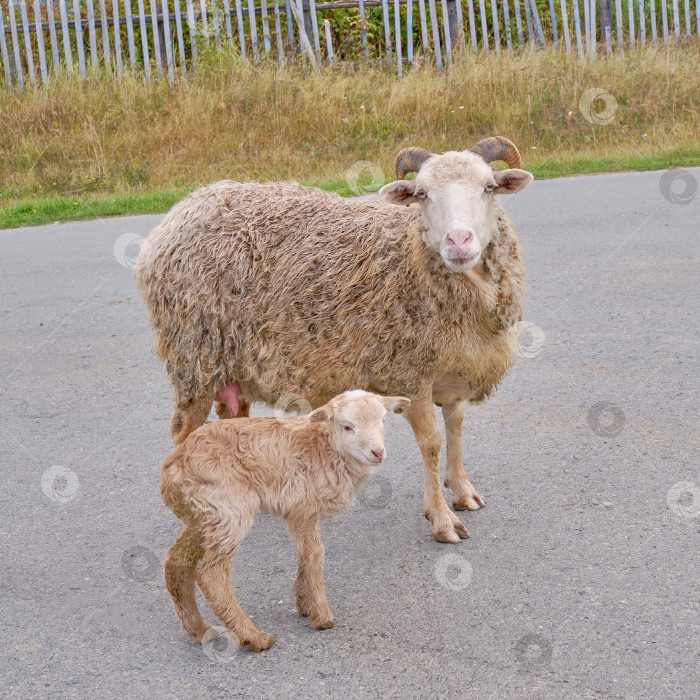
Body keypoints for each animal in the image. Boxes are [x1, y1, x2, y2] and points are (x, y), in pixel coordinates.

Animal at [134, 135, 532, 540]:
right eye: (422, 194)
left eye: (489, 188)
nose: (459, 241)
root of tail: (183, 208)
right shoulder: (411, 375)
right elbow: (432, 443)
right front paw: (442, 520)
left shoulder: (457, 372)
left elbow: (456, 429)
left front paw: (463, 491)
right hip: (194, 353)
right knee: (183, 431)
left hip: (231, 361)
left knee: (232, 418)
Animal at [161, 388, 408, 652]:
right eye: (347, 427)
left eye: (383, 421)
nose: (378, 453)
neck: (325, 448)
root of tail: (172, 469)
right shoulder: (303, 505)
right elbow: (315, 553)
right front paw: (322, 616)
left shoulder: (300, 512)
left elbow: (304, 552)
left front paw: (304, 602)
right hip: (228, 510)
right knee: (211, 574)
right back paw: (252, 636)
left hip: (202, 514)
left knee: (177, 561)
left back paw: (197, 629)